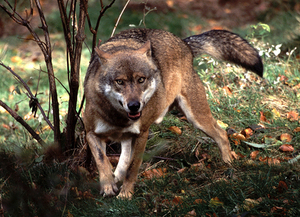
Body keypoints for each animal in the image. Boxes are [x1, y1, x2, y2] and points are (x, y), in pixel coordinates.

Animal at [84, 28, 262, 198]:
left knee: (222, 134)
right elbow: (102, 160)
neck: (118, 118)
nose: (134, 106)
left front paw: (125, 194)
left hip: (196, 118)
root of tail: (184, 43)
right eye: (120, 82)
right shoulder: (90, 133)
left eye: (141, 80)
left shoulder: (142, 134)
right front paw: (108, 186)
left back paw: (228, 165)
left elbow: (132, 168)